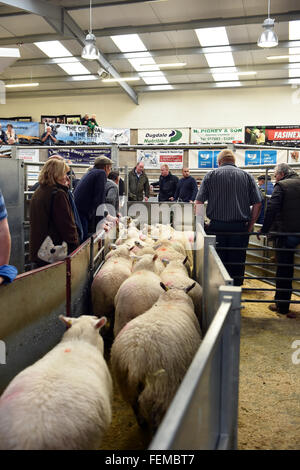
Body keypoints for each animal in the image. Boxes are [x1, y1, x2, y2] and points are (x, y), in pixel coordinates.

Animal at [110, 282, 202, 434]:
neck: (171, 302)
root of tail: (134, 359)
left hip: (125, 383)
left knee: (134, 403)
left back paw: (141, 422)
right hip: (159, 389)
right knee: (154, 416)